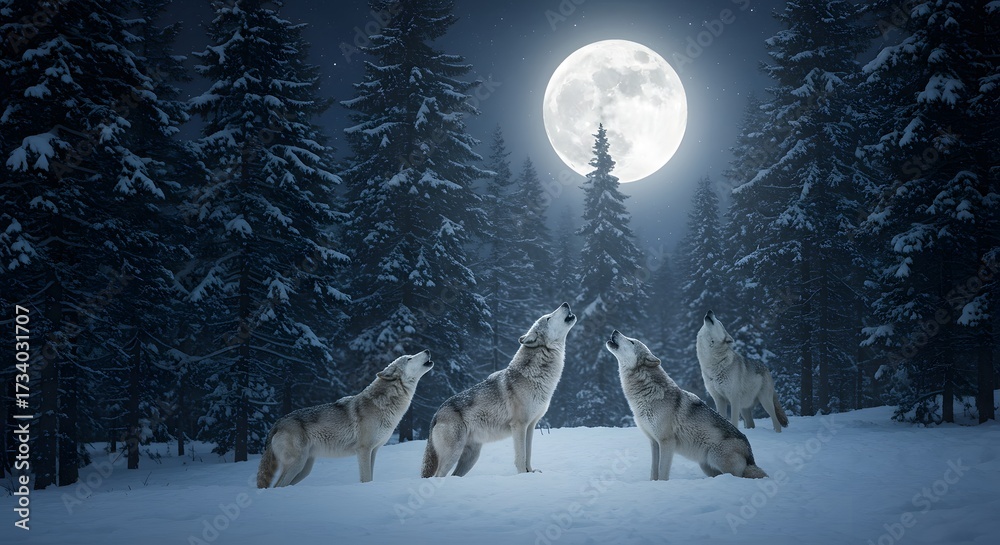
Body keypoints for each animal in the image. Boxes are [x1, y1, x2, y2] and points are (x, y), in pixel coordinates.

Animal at [257, 351, 433, 487]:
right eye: (409, 358)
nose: (427, 350)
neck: (383, 404)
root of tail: (277, 423)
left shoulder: (374, 451)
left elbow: (370, 478)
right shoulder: (363, 450)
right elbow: (366, 479)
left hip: (304, 469)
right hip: (297, 464)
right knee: (276, 486)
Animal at [421, 303, 577, 478]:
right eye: (548, 318)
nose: (565, 304)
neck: (534, 376)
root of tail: (436, 414)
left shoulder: (531, 426)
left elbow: (528, 454)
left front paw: (530, 472)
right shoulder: (519, 426)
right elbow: (521, 457)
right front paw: (522, 476)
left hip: (471, 457)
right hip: (453, 454)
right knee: (437, 476)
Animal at [606, 330, 768, 480]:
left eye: (631, 341)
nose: (615, 331)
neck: (646, 393)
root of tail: (750, 455)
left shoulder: (666, 442)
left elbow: (662, 473)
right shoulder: (654, 443)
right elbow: (653, 472)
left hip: (716, 457)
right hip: (706, 465)